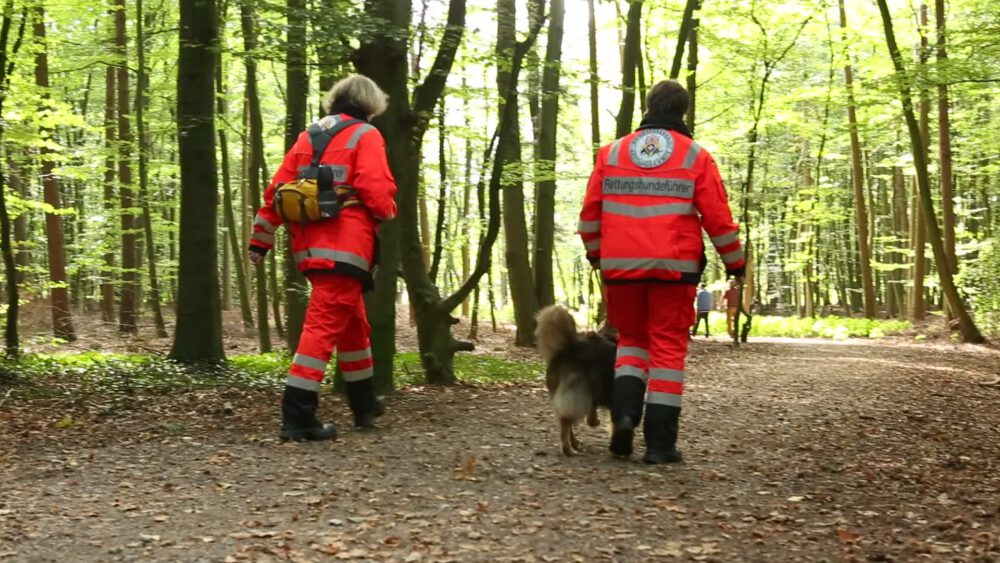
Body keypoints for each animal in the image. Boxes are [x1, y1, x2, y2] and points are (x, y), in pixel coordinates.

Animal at [532, 306, 616, 456]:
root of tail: (567, 348)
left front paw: (594, 421)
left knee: (565, 419)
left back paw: (575, 443)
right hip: (577, 391)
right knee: (566, 421)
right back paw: (568, 449)